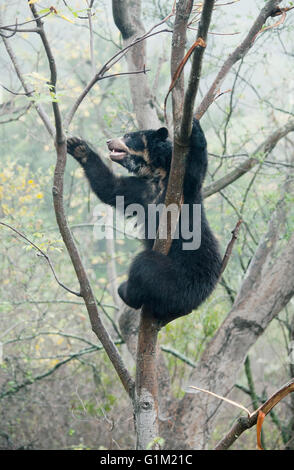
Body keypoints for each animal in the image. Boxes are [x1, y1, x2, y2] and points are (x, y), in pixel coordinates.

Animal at [66, 119, 222, 324]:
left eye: (128, 136)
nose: (109, 141)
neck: (158, 175)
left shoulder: (184, 189)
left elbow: (196, 169)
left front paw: (194, 125)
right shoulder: (142, 190)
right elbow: (111, 188)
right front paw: (78, 147)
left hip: (177, 277)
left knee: (143, 266)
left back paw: (125, 291)